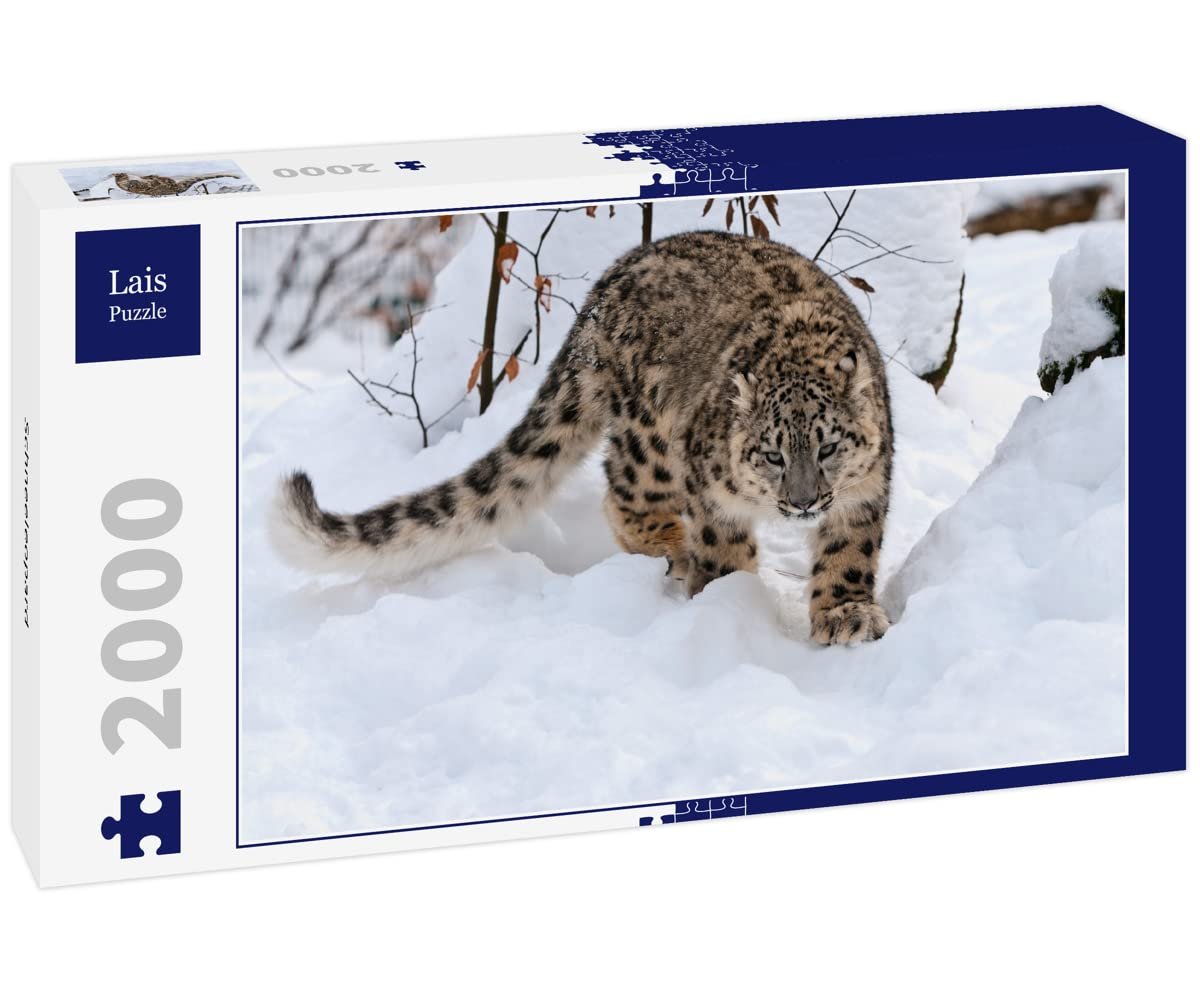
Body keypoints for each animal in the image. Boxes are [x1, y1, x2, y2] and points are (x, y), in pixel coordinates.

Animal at [270, 229, 894, 645]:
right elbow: (723, 547)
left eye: (829, 446)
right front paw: (728, 601)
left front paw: (846, 614)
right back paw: (671, 547)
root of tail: (610, 282)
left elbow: (849, 552)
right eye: (771, 454)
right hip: (650, 441)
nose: (803, 501)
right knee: (623, 495)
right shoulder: (712, 491)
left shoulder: (865, 490)